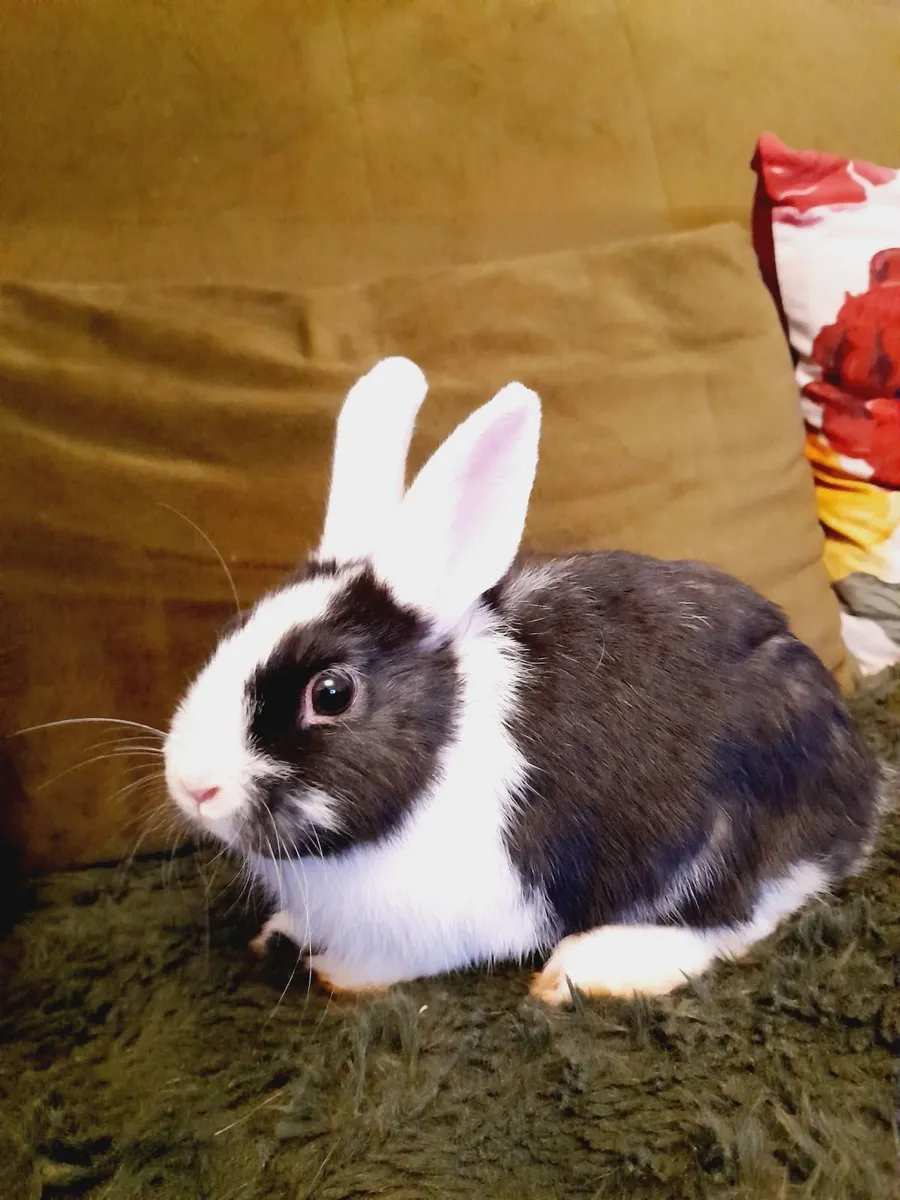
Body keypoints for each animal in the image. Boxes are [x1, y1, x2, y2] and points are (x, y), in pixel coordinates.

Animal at [163, 356, 887, 1004]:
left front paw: (335, 971)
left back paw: (591, 969)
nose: (193, 786)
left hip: (729, 828)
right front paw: (277, 933)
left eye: (331, 694)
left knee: (741, 914)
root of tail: (863, 791)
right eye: (232, 628)